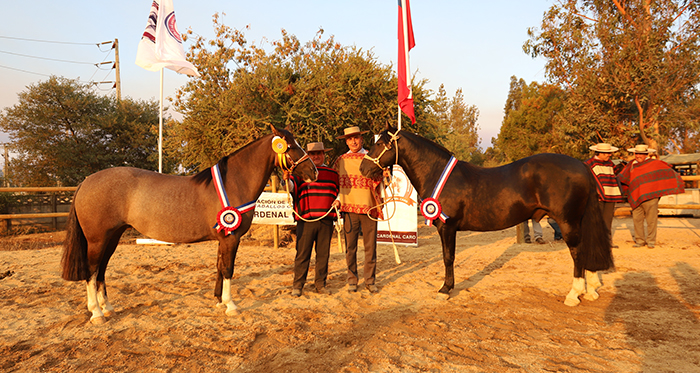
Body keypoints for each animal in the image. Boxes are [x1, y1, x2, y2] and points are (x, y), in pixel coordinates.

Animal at [61, 125, 318, 322]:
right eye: (290, 146)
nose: (313, 172)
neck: (233, 183)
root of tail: (86, 181)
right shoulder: (231, 237)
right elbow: (228, 269)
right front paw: (231, 306)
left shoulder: (223, 237)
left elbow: (219, 267)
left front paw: (219, 302)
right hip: (97, 240)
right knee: (92, 271)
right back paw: (96, 313)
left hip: (112, 237)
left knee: (101, 270)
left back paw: (107, 307)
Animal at [360, 126, 612, 306]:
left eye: (380, 144)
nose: (363, 168)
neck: (438, 173)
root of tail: (581, 166)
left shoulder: (447, 227)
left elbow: (448, 257)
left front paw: (445, 289)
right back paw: (591, 291)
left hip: (568, 222)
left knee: (577, 252)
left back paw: (574, 294)